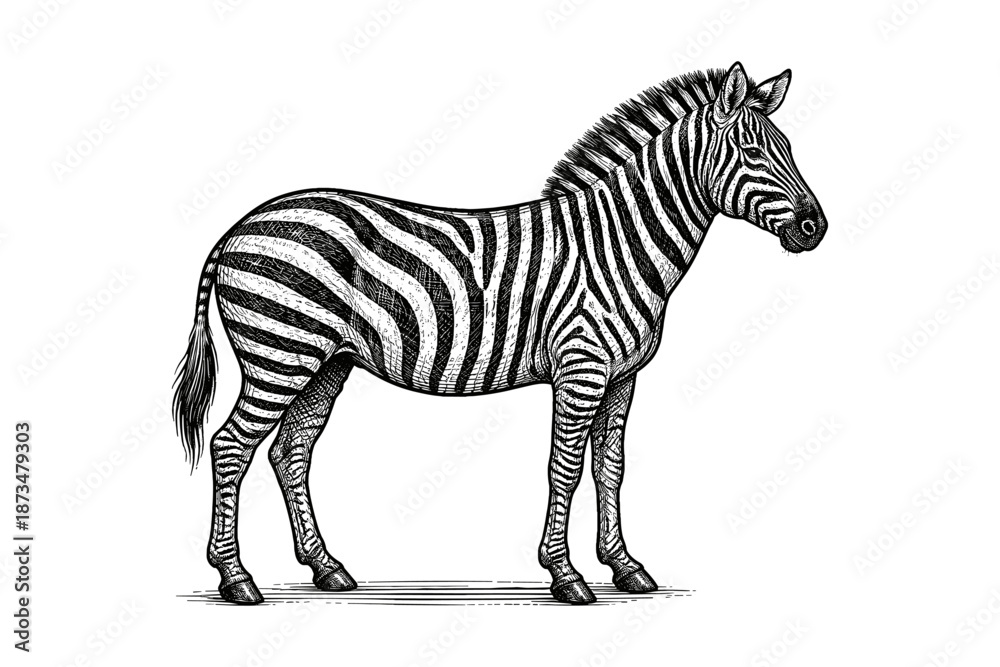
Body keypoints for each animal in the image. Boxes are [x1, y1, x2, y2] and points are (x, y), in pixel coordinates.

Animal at [174, 62, 827, 605]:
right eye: (751, 150)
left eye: (790, 148)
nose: (815, 228)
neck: (618, 242)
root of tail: (236, 228)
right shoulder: (581, 366)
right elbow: (565, 467)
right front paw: (566, 575)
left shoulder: (622, 376)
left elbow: (611, 467)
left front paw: (624, 567)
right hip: (279, 352)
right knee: (231, 446)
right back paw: (236, 579)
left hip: (325, 361)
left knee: (291, 450)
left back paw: (326, 568)